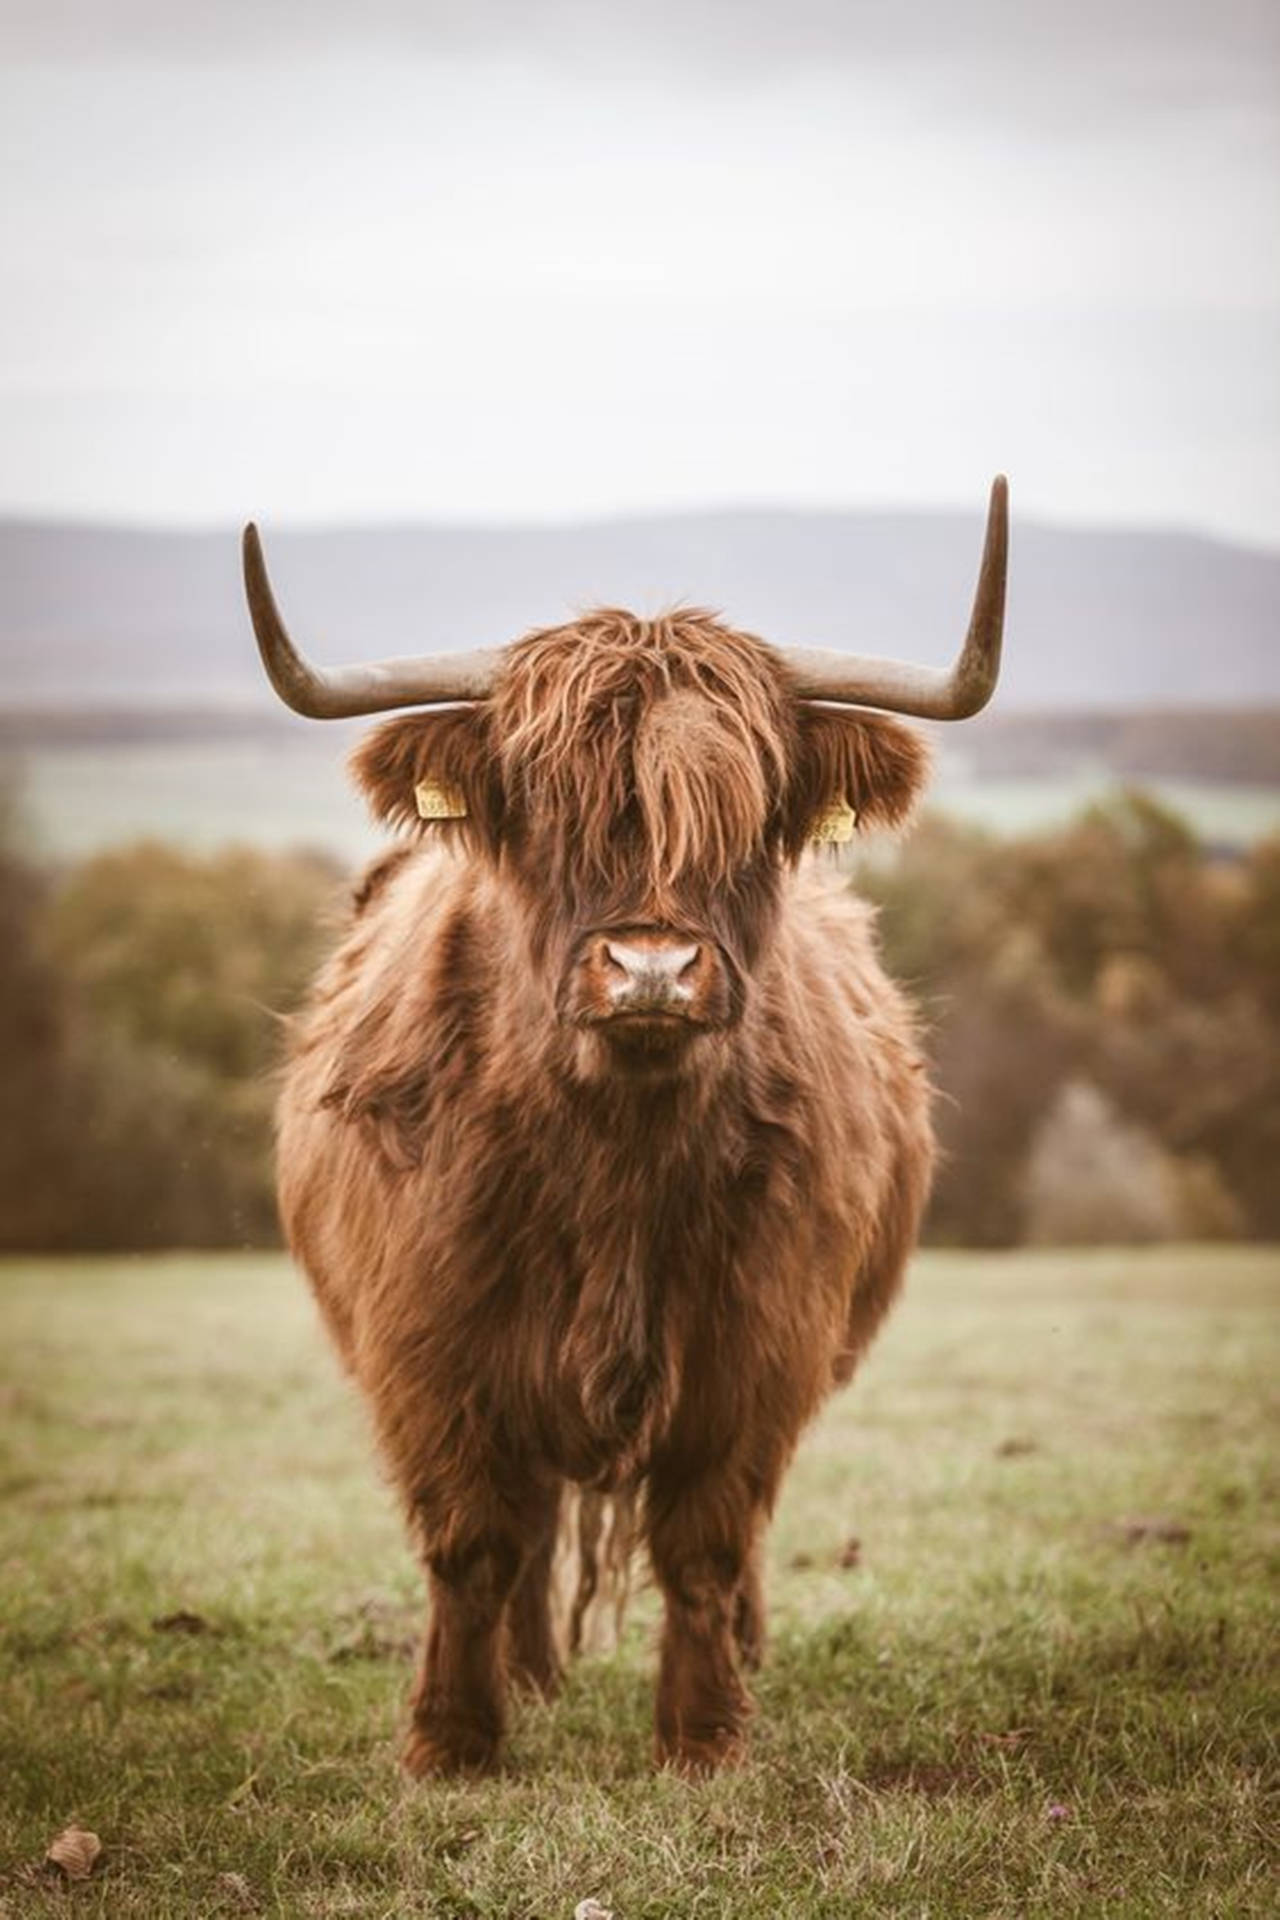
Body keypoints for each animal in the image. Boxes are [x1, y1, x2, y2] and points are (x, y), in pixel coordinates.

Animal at [242, 476, 1013, 1766]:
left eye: (747, 816)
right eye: (542, 810)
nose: (650, 967)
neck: (612, 1155)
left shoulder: (758, 1345)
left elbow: (704, 1543)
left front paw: (703, 1736)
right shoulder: (429, 1346)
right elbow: (472, 1543)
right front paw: (454, 1742)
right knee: (532, 1525)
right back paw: (531, 1674)